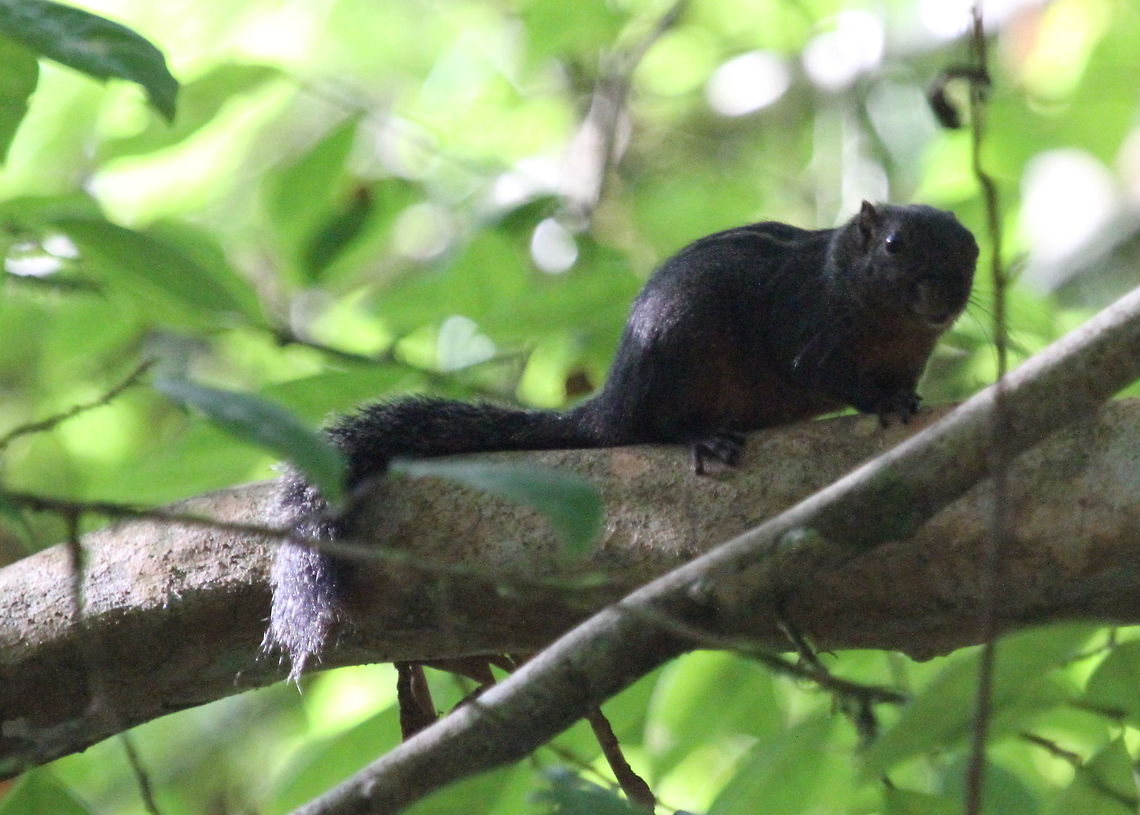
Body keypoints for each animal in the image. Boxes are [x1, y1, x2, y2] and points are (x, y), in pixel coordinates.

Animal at [263, 200, 978, 679]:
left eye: (969, 251)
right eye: (893, 245)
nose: (942, 297)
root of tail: (614, 402)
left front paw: (904, 396)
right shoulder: (807, 323)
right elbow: (820, 373)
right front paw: (882, 402)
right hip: (680, 351)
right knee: (658, 426)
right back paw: (703, 435)